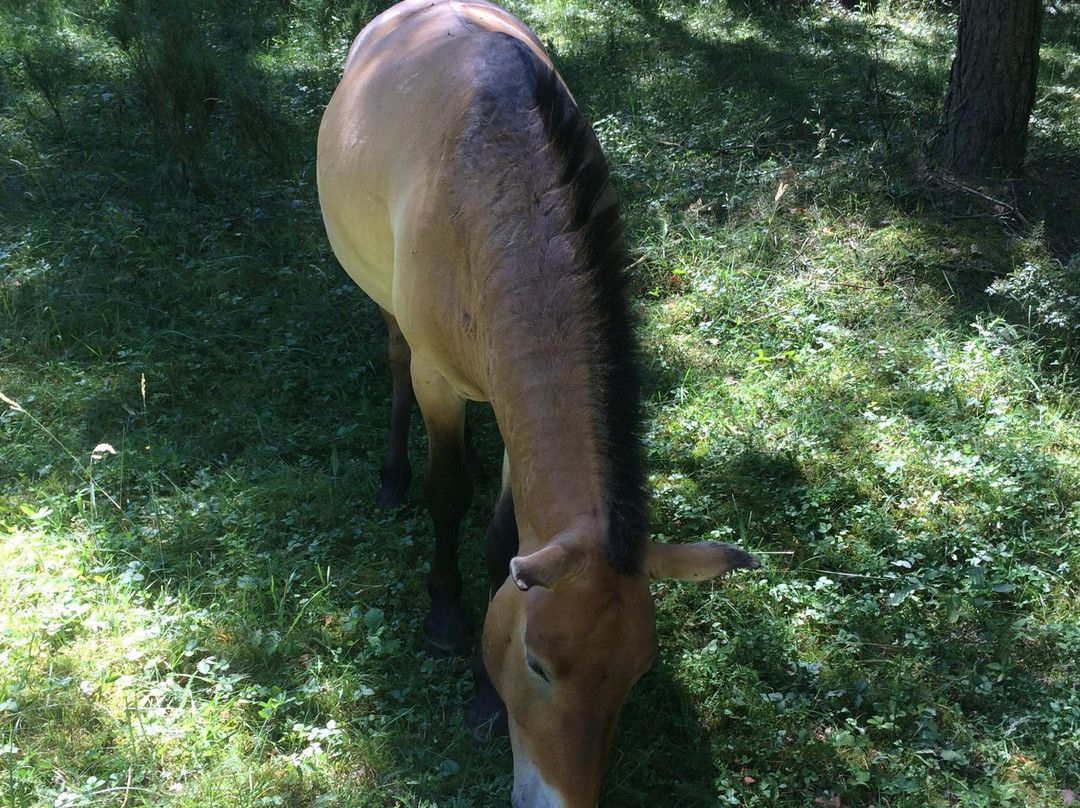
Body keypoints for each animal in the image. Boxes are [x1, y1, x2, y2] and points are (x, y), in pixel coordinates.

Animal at [317, 3, 760, 803]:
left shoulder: (515, 413)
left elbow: (504, 539)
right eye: (536, 665)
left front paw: (484, 699)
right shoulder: (439, 378)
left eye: (636, 675)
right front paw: (444, 617)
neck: (502, 207)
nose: (564, 797)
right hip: (385, 303)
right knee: (394, 360)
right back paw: (393, 476)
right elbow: (448, 492)